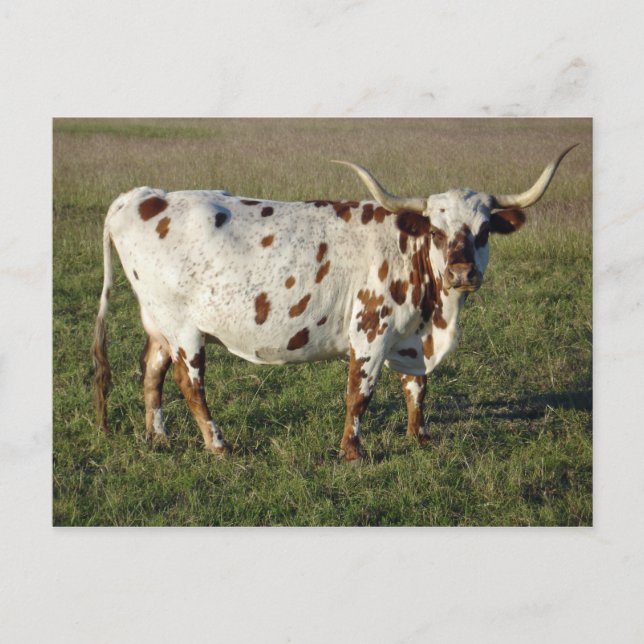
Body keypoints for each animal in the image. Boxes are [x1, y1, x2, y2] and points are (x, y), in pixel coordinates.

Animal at [92, 145, 576, 461]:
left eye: (484, 230)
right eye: (437, 232)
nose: (462, 273)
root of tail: (142, 196)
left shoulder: (408, 338)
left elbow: (416, 386)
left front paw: (420, 438)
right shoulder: (371, 331)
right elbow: (359, 392)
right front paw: (352, 451)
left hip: (158, 322)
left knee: (151, 372)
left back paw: (157, 438)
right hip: (183, 327)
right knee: (189, 383)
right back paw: (219, 446)